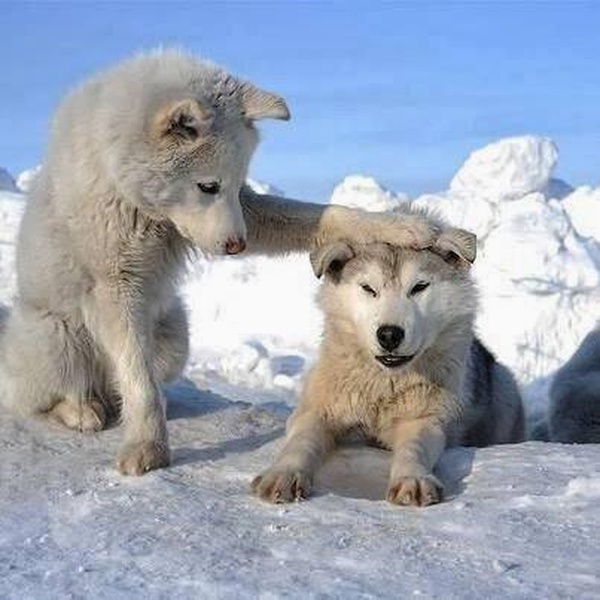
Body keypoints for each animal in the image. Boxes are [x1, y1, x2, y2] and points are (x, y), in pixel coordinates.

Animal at [0, 49, 442, 475]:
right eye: (207, 186)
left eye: (234, 184)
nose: (235, 245)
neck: (131, 191)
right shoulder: (115, 286)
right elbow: (138, 379)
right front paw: (147, 446)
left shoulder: (247, 212)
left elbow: (326, 215)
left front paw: (402, 226)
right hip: (57, 338)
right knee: (50, 395)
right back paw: (81, 410)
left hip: (174, 339)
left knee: (123, 384)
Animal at [252, 228, 525, 506]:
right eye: (368, 289)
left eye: (419, 287)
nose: (389, 334)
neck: (384, 384)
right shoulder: (317, 411)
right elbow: (301, 441)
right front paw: (284, 474)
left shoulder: (424, 420)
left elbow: (413, 449)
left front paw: (412, 480)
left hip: (504, 391)